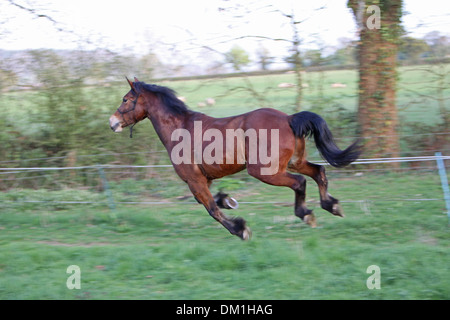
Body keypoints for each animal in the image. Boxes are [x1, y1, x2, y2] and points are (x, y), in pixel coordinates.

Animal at [110, 79, 362, 240]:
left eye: (126, 99)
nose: (112, 123)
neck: (180, 129)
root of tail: (289, 118)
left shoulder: (194, 181)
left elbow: (212, 209)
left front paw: (240, 229)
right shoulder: (204, 180)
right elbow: (212, 202)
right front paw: (229, 200)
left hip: (266, 171)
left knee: (300, 182)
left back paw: (306, 214)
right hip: (294, 162)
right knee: (319, 172)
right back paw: (332, 206)